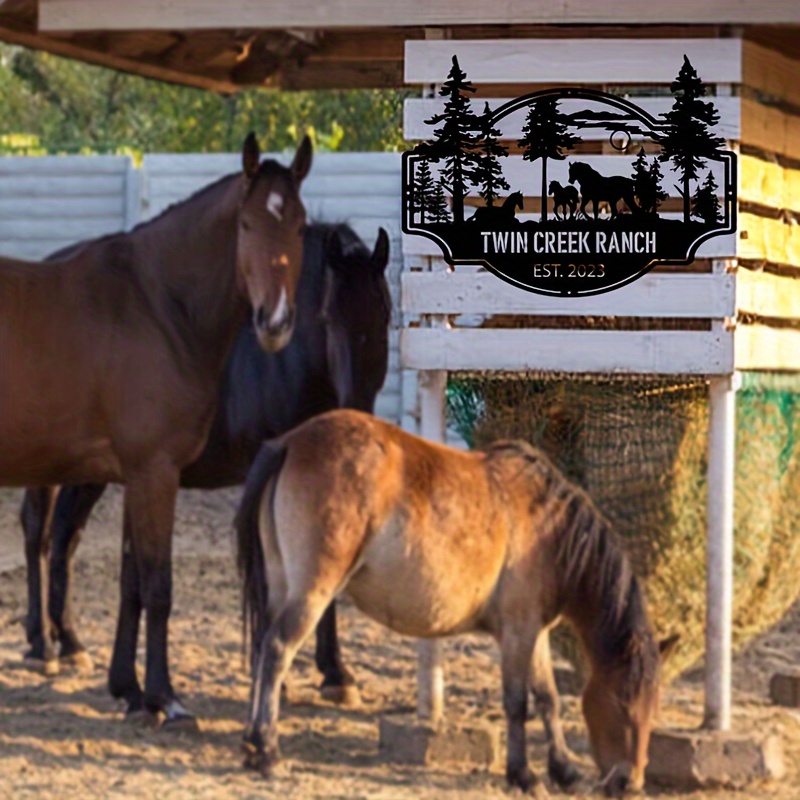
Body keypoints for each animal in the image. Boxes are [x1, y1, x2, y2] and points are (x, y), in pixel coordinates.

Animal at [0, 134, 312, 728]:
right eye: (246, 225)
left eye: (301, 226)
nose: (277, 321)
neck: (159, 306)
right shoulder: (155, 472)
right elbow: (159, 587)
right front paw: (164, 698)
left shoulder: (134, 475)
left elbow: (133, 585)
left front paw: (128, 688)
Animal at [20, 220, 390, 708]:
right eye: (327, 317)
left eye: (384, 314)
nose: (358, 411)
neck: (278, 366)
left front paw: (335, 674)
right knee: (38, 531)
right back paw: (41, 645)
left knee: (65, 534)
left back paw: (70, 642)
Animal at [233, 410, 676, 796]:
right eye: (621, 701)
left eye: (654, 706)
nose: (630, 783)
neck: (552, 529)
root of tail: (289, 443)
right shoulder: (517, 633)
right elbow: (518, 703)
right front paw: (524, 775)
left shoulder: (535, 633)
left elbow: (548, 699)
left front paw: (564, 770)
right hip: (313, 593)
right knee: (276, 651)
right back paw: (268, 750)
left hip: (280, 587)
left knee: (262, 650)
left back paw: (253, 746)